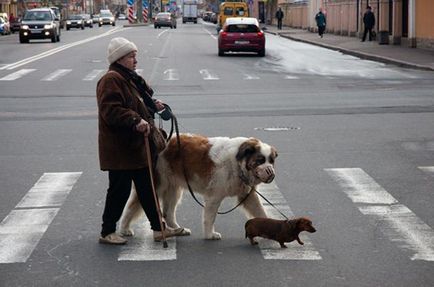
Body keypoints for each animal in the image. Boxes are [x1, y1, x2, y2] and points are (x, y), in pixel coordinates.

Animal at [118, 134, 276, 241]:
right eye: (260, 160)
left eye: (271, 161)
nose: (271, 173)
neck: (237, 163)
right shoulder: (214, 197)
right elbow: (210, 217)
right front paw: (210, 235)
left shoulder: (248, 195)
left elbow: (260, 211)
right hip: (155, 184)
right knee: (131, 207)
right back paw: (124, 229)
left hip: (173, 189)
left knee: (168, 213)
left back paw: (177, 229)